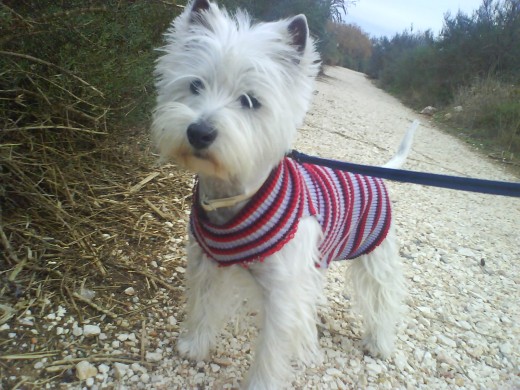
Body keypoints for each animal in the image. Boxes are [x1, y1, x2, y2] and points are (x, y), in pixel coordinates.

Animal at [151, 1, 414, 388]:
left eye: (250, 101)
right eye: (195, 85)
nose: (199, 132)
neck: (234, 197)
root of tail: (376, 173)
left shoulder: (282, 292)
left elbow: (272, 350)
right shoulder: (207, 263)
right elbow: (203, 305)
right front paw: (194, 345)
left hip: (375, 255)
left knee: (382, 296)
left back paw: (379, 343)